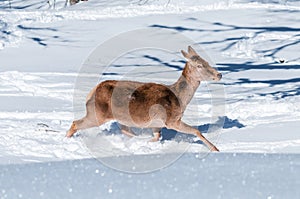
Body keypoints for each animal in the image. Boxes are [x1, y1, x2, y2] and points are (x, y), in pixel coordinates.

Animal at [68, 45, 223, 152]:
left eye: (207, 61)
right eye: (199, 65)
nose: (219, 74)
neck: (181, 100)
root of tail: (91, 92)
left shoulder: (156, 124)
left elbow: (157, 137)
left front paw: (147, 143)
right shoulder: (171, 120)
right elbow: (197, 131)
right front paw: (215, 149)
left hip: (120, 117)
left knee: (126, 131)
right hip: (98, 114)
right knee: (76, 123)